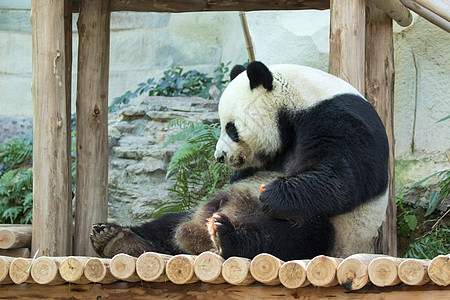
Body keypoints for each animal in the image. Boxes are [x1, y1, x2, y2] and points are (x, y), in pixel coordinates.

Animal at [89, 61, 388, 260]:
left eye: (231, 129)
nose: (220, 156)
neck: (301, 96)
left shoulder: (336, 115)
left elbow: (343, 176)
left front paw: (272, 193)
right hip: (196, 211)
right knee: (168, 223)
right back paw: (115, 238)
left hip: (338, 233)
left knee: (297, 236)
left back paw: (227, 236)